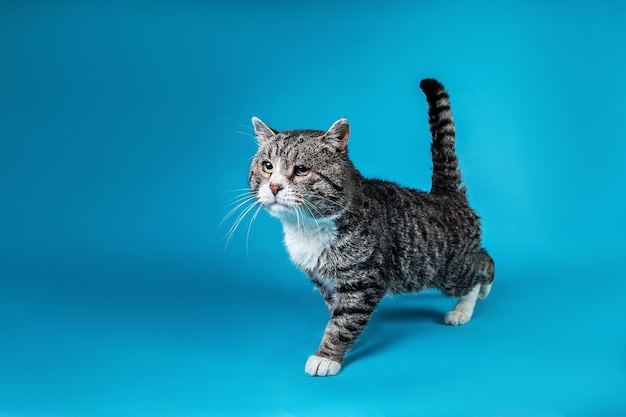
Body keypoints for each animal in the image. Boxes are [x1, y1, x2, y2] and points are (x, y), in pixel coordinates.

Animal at [245, 77, 492, 374]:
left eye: (302, 170)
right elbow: (338, 314)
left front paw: (327, 357)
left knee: (477, 269)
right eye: (267, 166)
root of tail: (445, 195)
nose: (274, 186)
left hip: (448, 270)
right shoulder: (326, 284)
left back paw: (464, 308)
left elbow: (344, 321)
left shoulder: (363, 281)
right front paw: (347, 342)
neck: (308, 228)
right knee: (485, 258)